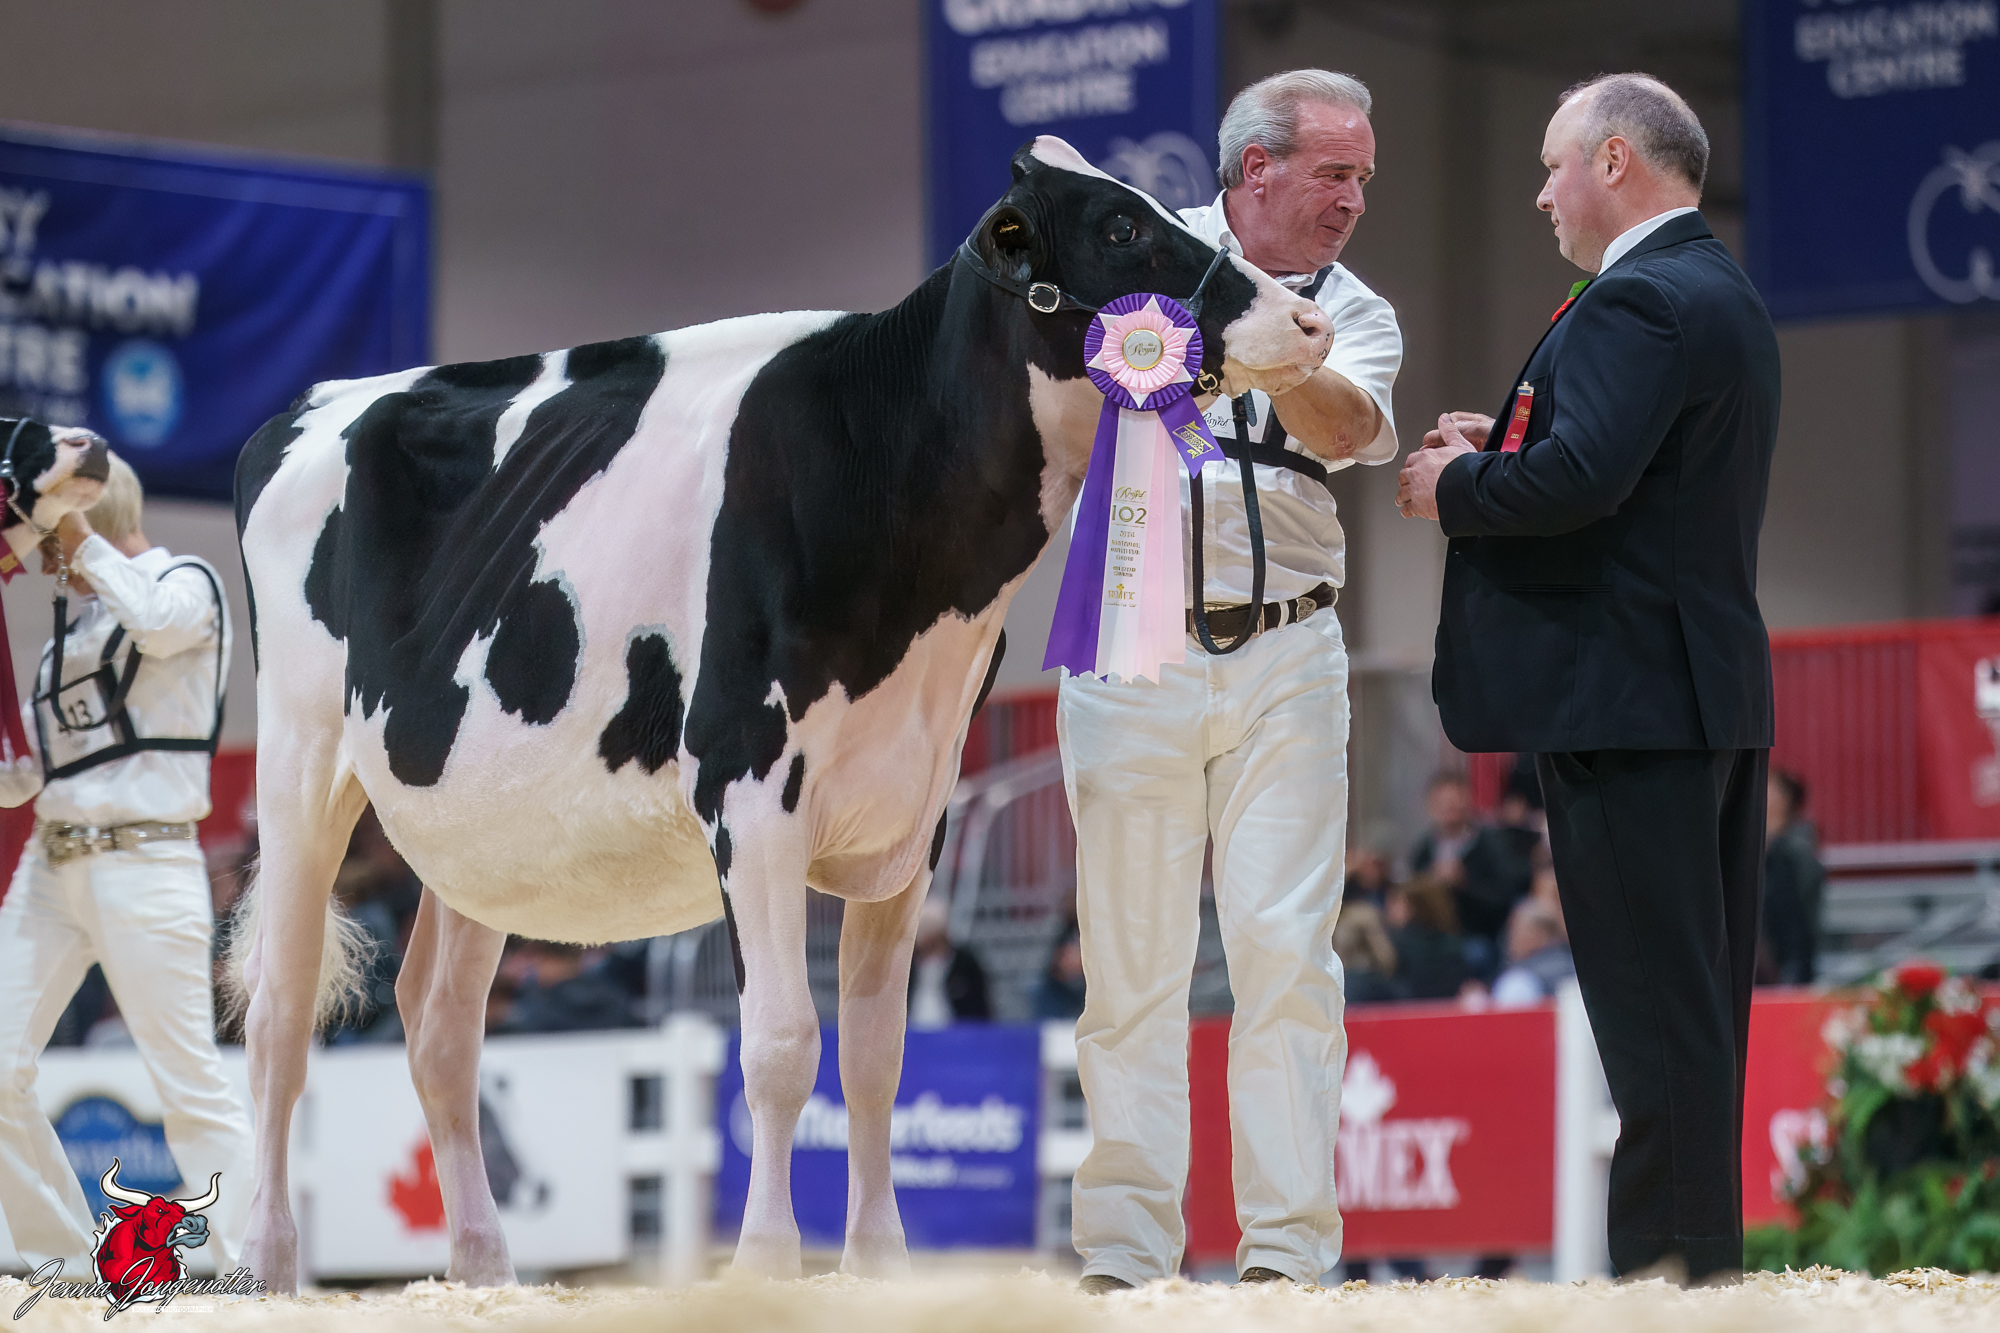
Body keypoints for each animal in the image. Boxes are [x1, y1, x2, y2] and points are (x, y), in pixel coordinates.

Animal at [228, 136, 1333, 1291]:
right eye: (1118, 228)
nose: (1308, 322)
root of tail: (314, 405)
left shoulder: (916, 810)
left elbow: (876, 1051)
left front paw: (880, 1261)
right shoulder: (748, 788)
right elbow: (778, 1043)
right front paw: (764, 1259)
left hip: (485, 823)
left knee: (439, 1026)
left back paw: (486, 1270)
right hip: (302, 761)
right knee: (278, 1014)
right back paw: (265, 1259)